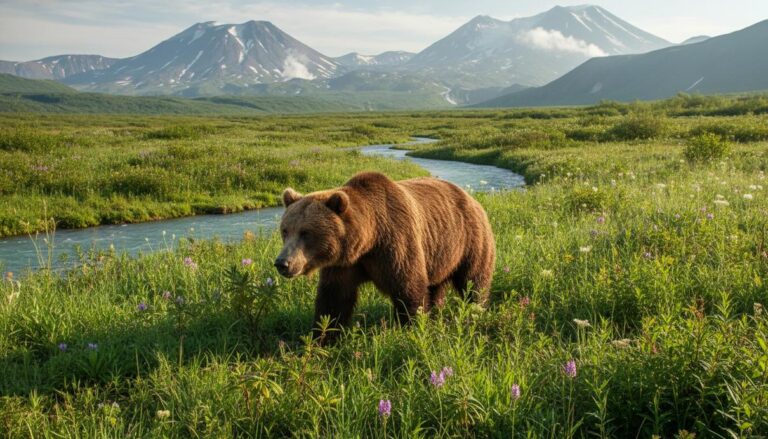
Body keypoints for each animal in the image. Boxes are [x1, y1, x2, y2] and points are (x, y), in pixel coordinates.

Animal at [274, 171, 495, 341]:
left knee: (473, 281)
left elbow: (409, 288)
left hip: (470, 240)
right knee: (436, 287)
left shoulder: (394, 245)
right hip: (440, 254)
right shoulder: (344, 264)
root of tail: (472, 198)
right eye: (285, 230)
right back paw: (437, 312)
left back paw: (476, 310)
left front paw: (413, 327)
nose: (282, 263)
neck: (368, 241)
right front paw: (323, 337)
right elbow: (334, 299)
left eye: (306, 233)